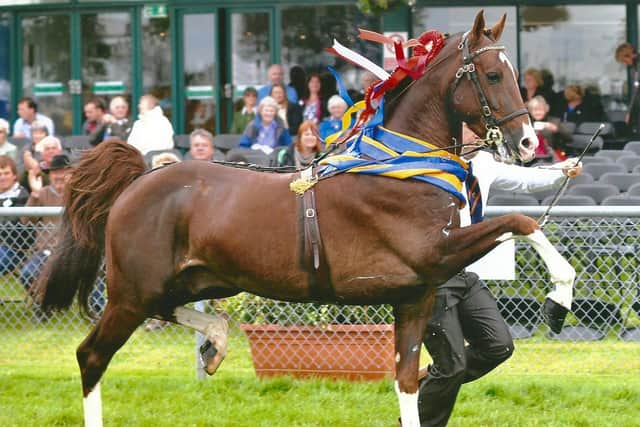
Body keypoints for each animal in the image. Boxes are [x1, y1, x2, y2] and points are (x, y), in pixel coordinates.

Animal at [35, 11, 541, 427]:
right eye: (493, 74)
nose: (529, 143)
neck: (402, 165)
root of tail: (138, 180)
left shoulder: (417, 295)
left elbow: (408, 385)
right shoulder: (434, 254)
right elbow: (522, 222)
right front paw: (557, 290)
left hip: (193, 280)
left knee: (164, 316)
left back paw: (216, 343)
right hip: (132, 292)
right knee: (91, 356)